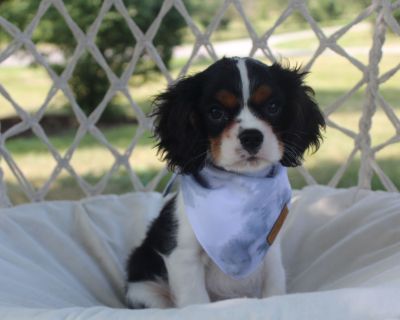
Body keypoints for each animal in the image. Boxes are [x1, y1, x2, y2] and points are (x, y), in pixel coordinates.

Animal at [125, 57, 324, 308]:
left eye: (272, 107)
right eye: (215, 112)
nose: (251, 137)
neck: (240, 186)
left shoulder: (270, 253)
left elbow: (274, 287)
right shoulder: (183, 256)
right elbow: (195, 302)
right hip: (144, 292)